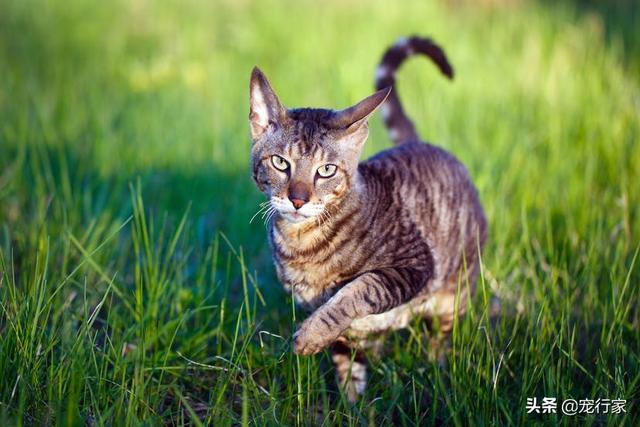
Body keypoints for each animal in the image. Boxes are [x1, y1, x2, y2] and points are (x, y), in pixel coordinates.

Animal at [248, 36, 488, 402]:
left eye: (326, 170)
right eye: (279, 163)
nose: (298, 199)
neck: (303, 243)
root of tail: (419, 142)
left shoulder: (415, 263)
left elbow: (358, 290)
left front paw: (310, 336)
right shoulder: (340, 329)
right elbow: (347, 363)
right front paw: (353, 403)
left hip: (455, 291)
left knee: (441, 337)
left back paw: (437, 370)